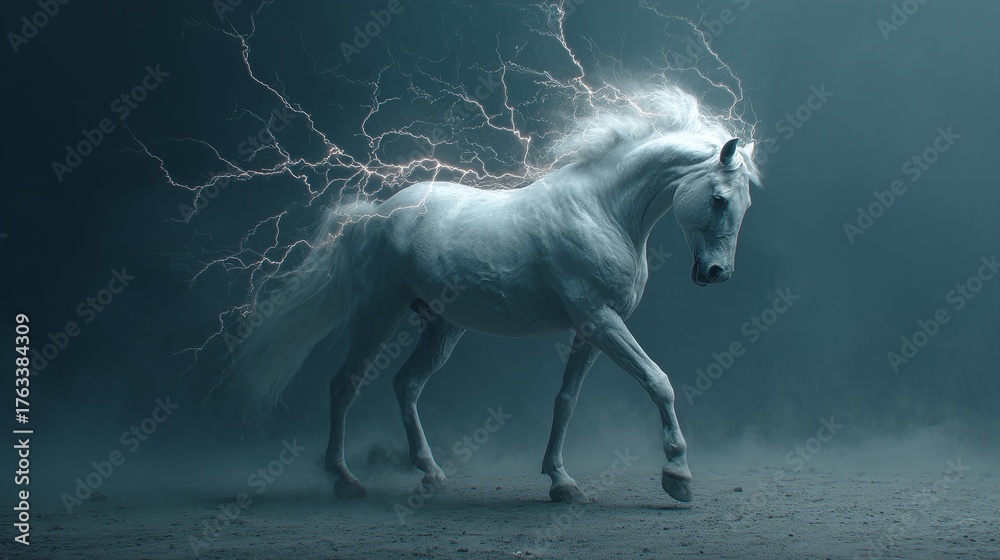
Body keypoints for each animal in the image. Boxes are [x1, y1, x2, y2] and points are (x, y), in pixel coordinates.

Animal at [231, 88, 761, 504]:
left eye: (746, 203)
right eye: (718, 198)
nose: (717, 273)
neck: (603, 210)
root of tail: (372, 215)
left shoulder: (591, 329)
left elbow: (566, 400)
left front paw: (561, 481)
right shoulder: (601, 320)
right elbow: (658, 381)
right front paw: (678, 476)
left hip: (442, 327)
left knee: (406, 385)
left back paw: (430, 473)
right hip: (376, 314)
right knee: (345, 385)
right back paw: (345, 480)